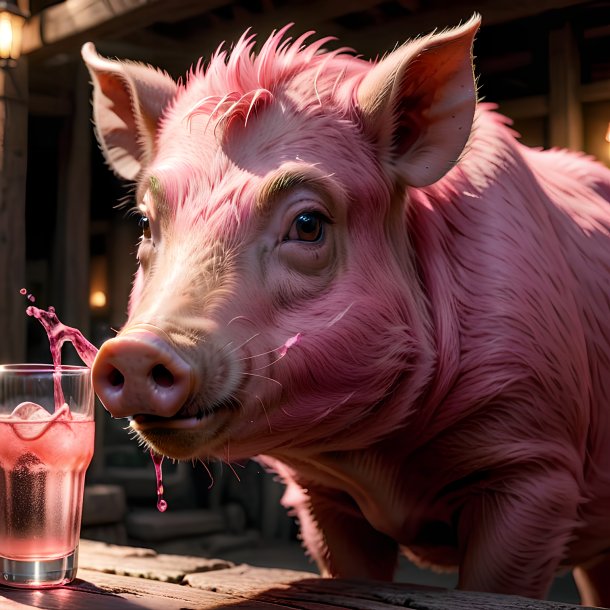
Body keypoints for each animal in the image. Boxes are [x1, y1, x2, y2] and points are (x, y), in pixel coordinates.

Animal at [83, 14, 608, 604]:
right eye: (145, 222)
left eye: (309, 224)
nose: (133, 350)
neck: (380, 464)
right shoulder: (321, 495)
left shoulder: (537, 461)